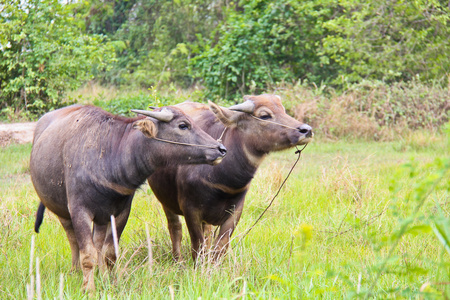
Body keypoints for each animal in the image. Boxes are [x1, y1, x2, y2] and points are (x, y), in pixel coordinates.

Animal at [30, 104, 227, 292]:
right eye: (183, 125)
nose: (221, 149)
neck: (108, 156)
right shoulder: (80, 211)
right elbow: (87, 254)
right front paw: (89, 289)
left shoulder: (121, 212)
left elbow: (109, 253)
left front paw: (109, 282)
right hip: (61, 211)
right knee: (73, 240)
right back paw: (75, 270)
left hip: (101, 218)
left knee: (98, 244)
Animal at [148, 95, 312, 262]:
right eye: (264, 115)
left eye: (283, 110)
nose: (306, 130)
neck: (222, 182)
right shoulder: (189, 208)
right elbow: (198, 246)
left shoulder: (235, 211)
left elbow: (220, 247)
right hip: (165, 200)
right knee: (175, 227)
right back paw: (178, 259)